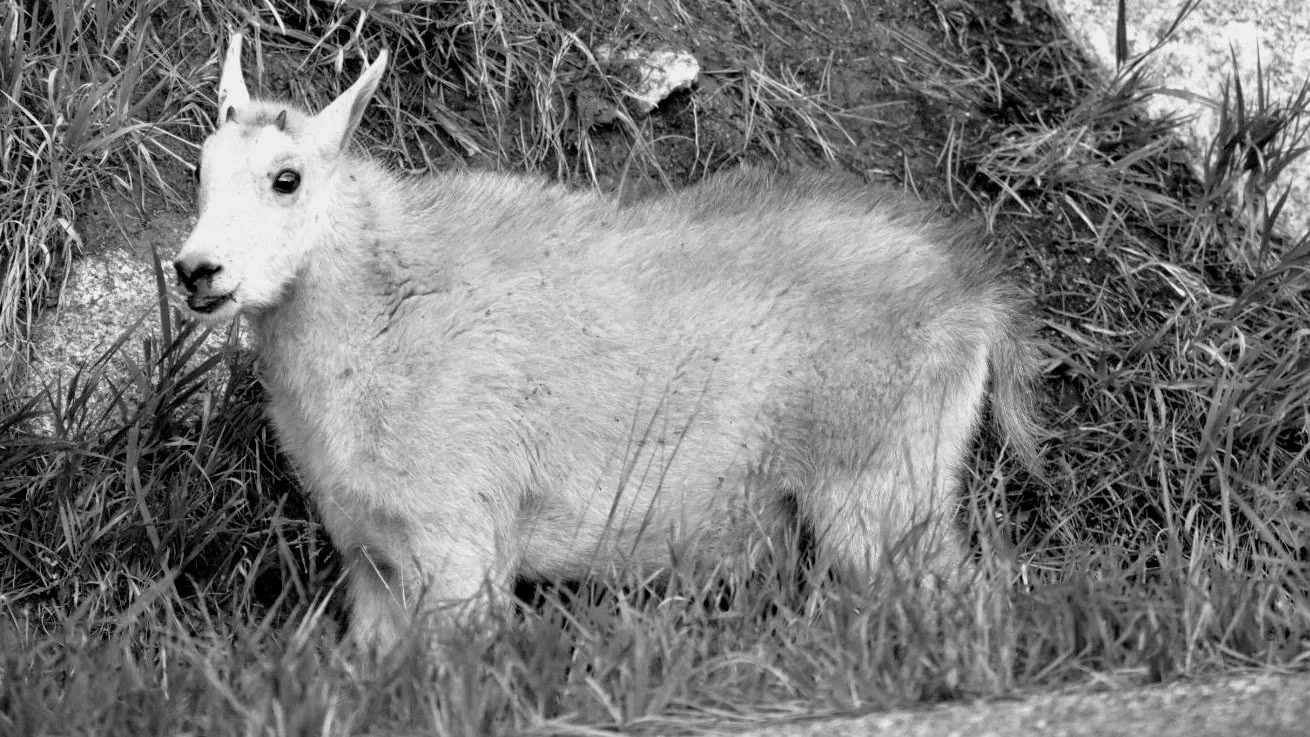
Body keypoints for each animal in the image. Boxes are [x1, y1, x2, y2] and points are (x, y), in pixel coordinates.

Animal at [174, 34, 1039, 652]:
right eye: (203, 171)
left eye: (287, 177)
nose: (195, 270)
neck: (380, 315)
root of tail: (976, 292)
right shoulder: (371, 558)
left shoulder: (459, 545)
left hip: (882, 491)